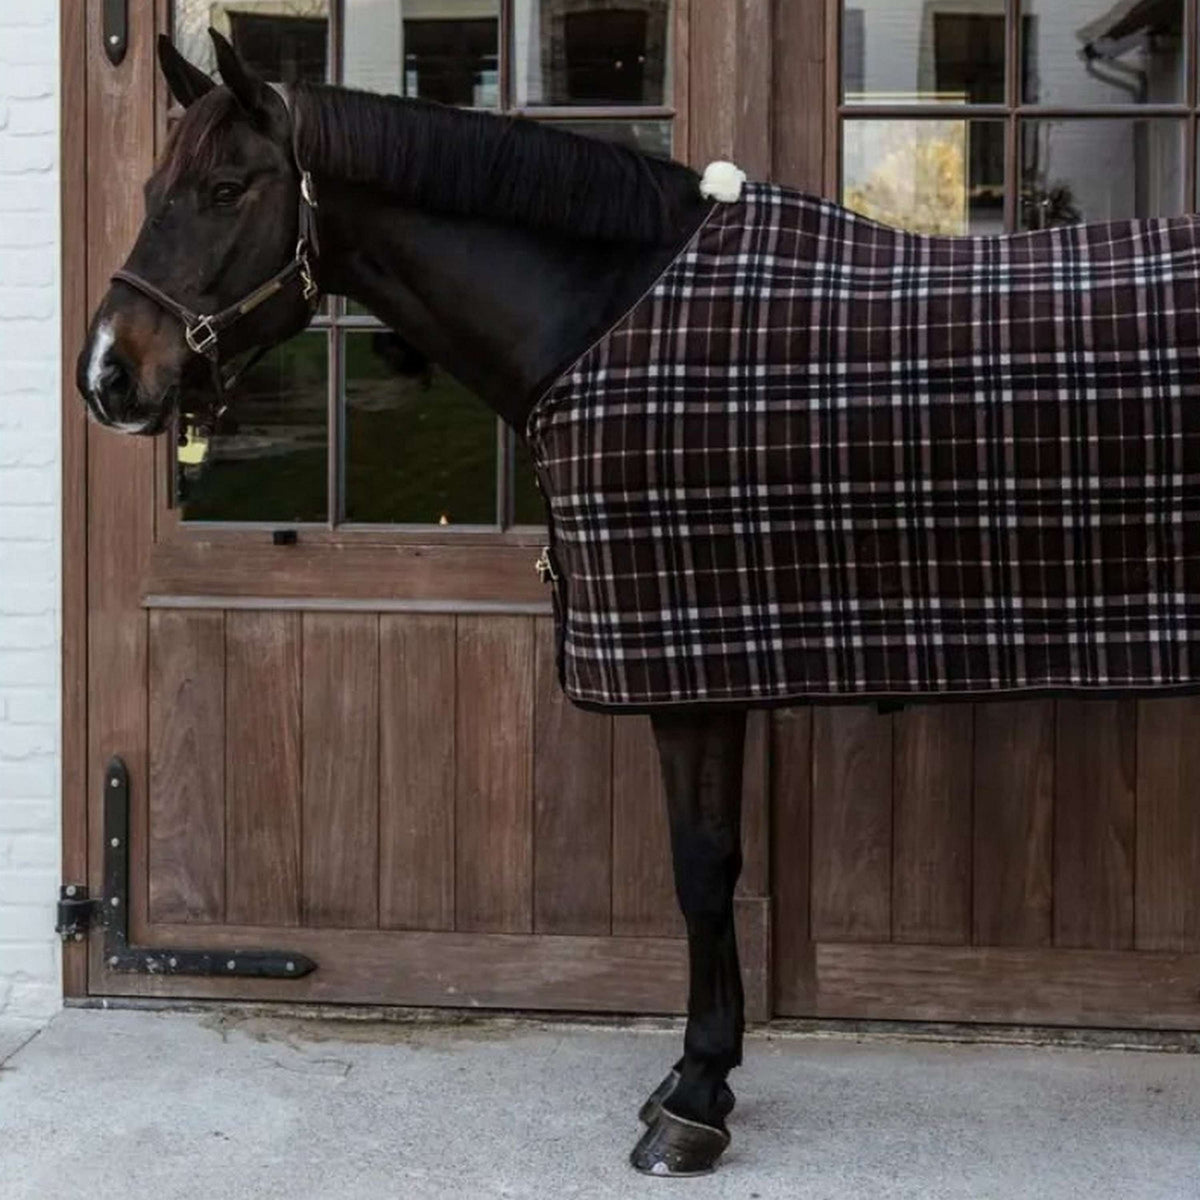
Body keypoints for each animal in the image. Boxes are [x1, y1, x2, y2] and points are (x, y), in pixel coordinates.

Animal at [79, 30, 744, 1180]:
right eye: (155, 188)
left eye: (224, 189)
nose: (107, 373)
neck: (632, 321)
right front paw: (696, 1078)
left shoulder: (702, 669)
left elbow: (702, 869)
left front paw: (696, 1100)